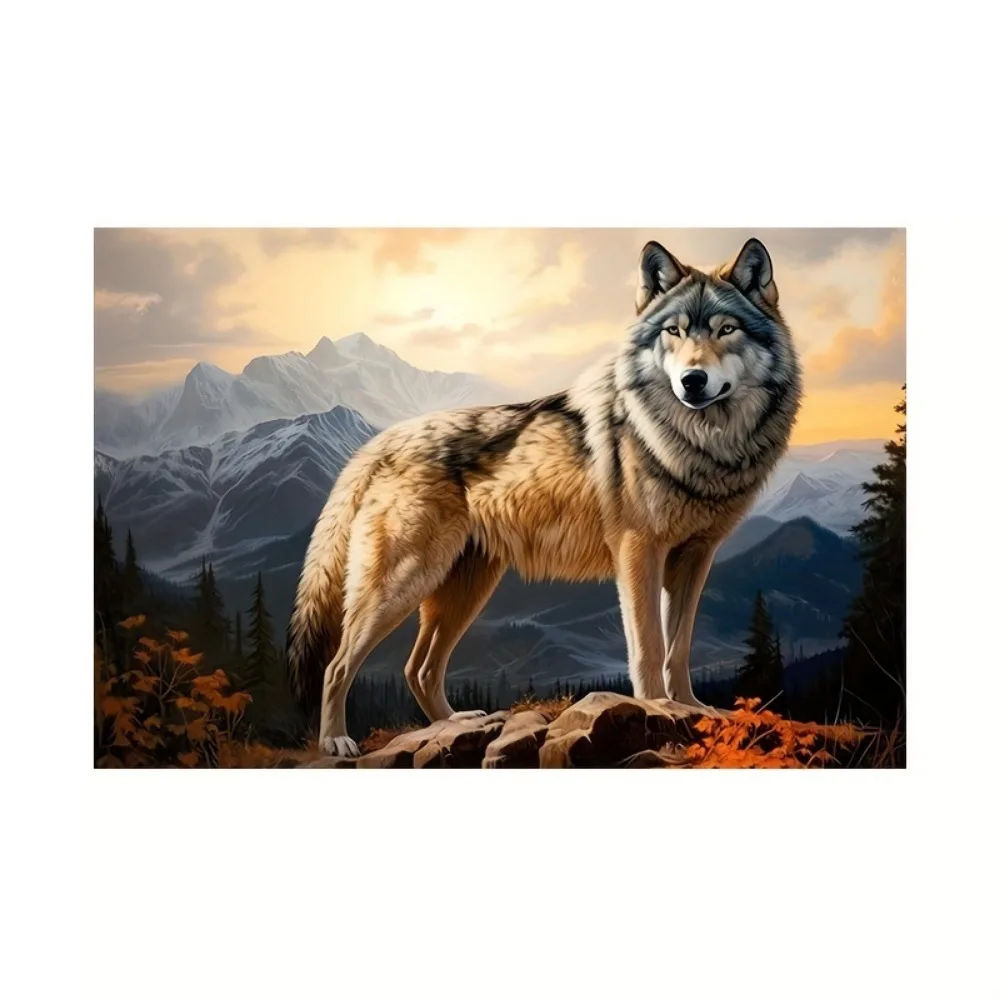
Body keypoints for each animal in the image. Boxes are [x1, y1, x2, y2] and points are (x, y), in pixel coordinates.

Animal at [288, 238, 802, 756]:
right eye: (673, 331)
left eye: (726, 330)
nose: (692, 381)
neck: (699, 443)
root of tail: (379, 442)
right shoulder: (639, 551)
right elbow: (650, 647)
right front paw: (658, 708)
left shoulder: (694, 558)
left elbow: (679, 648)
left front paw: (692, 708)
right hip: (404, 584)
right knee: (338, 665)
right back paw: (336, 741)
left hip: (464, 590)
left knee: (419, 668)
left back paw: (454, 724)